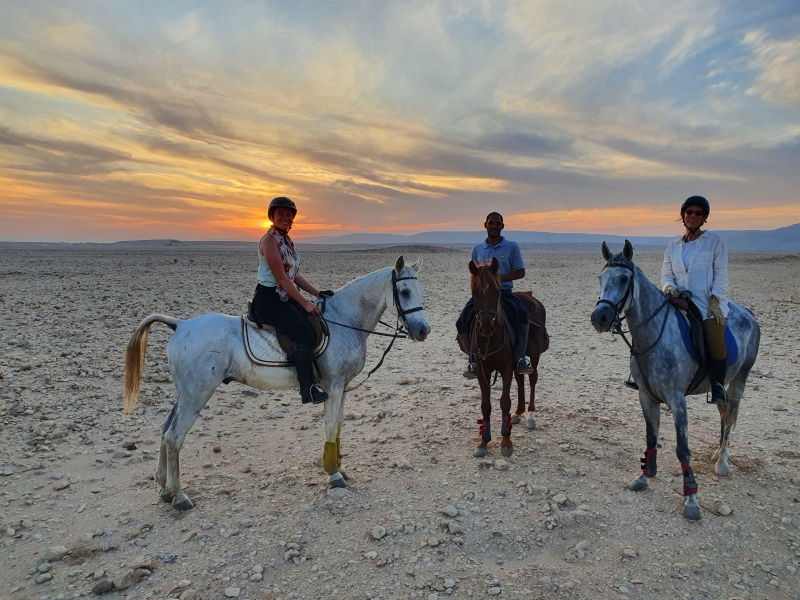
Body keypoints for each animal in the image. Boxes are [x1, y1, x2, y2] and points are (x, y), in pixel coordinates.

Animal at [123, 255, 432, 508]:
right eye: (404, 292)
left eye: (420, 291)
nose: (423, 330)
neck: (344, 321)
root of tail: (181, 325)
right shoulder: (333, 385)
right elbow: (331, 426)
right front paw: (333, 474)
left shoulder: (341, 387)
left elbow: (338, 427)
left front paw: (339, 467)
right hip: (196, 394)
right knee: (174, 436)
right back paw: (178, 495)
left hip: (185, 394)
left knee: (165, 429)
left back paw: (164, 487)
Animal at [460, 255, 548, 458]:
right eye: (474, 292)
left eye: (497, 291)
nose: (486, 328)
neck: (489, 340)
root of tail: (530, 296)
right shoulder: (482, 371)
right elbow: (485, 405)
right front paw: (483, 442)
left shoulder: (506, 367)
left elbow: (505, 402)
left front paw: (506, 441)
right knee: (520, 377)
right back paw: (518, 412)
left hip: (534, 354)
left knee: (532, 378)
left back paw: (530, 415)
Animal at [592, 241, 760, 516]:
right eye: (600, 278)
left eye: (624, 279)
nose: (600, 318)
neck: (653, 337)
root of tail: (748, 313)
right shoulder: (646, 397)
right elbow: (651, 438)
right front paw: (644, 476)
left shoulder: (677, 400)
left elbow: (683, 450)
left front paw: (691, 499)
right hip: (723, 384)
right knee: (724, 411)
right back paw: (716, 453)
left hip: (739, 379)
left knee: (731, 414)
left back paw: (723, 461)